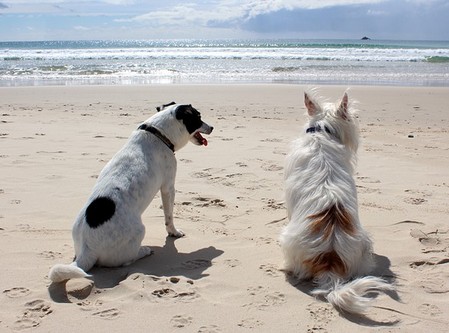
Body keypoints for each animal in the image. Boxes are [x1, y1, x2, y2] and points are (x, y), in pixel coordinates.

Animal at [48, 102, 213, 282]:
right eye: (198, 117)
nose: (212, 127)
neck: (158, 133)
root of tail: (87, 249)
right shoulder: (168, 187)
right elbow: (169, 217)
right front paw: (174, 232)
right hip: (139, 231)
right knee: (126, 260)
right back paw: (144, 250)